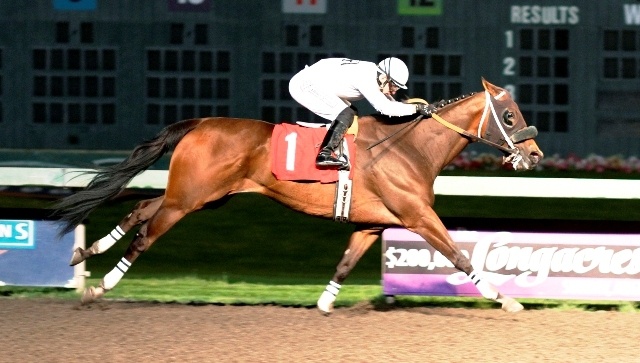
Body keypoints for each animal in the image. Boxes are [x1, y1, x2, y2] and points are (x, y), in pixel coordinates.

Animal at [56, 79, 544, 312]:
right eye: (508, 116)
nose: (535, 155)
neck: (408, 147)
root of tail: (200, 122)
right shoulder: (417, 215)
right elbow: (460, 255)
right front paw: (506, 299)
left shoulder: (373, 222)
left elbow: (346, 262)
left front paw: (325, 303)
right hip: (188, 199)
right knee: (147, 234)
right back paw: (100, 286)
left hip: (203, 195)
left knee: (140, 209)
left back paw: (88, 252)